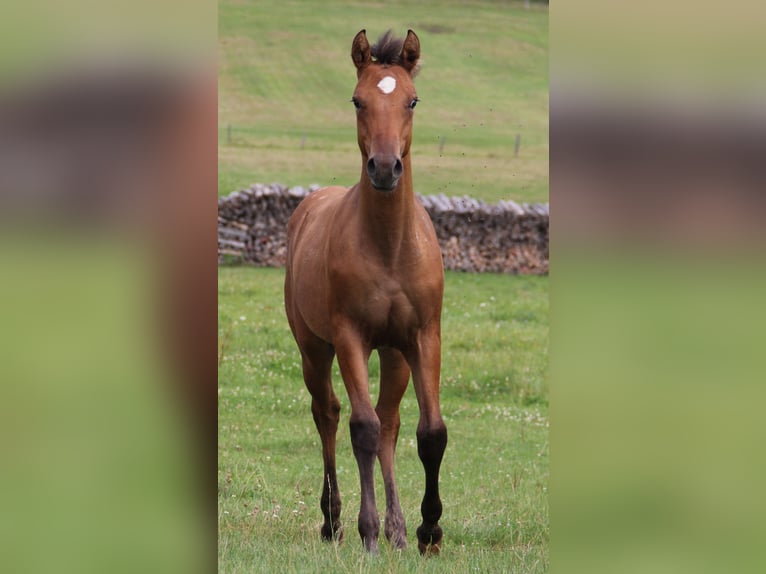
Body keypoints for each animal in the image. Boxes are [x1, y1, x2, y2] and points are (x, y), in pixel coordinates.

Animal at [284, 29, 448, 556]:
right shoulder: (350, 337)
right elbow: (362, 429)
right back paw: (333, 521)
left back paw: (398, 529)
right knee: (330, 415)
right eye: (358, 100)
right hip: (314, 348)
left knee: (391, 423)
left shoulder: (423, 338)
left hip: (394, 354)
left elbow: (429, 432)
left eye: (412, 100)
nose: (384, 168)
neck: (390, 248)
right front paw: (368, 532)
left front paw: (427, 531)